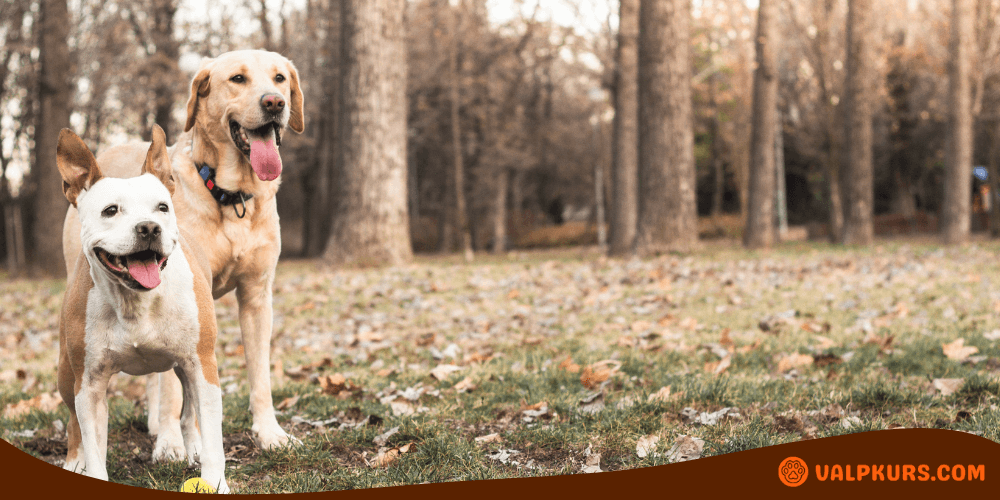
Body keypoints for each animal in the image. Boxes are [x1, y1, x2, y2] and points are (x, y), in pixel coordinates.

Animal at [58, 127, 230, 494]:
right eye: (110, 210)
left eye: (162, 207)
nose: (149, 227)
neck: (134, 300)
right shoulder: (89, 383)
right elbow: (92, 441)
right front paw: (90, 468)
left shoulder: (202, 364)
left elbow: (212, 436)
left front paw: (215, 482)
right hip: (67, 374)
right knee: (75, 423)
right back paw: (74, 460)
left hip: (186, 365)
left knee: (188, 411)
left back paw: (192, 448)